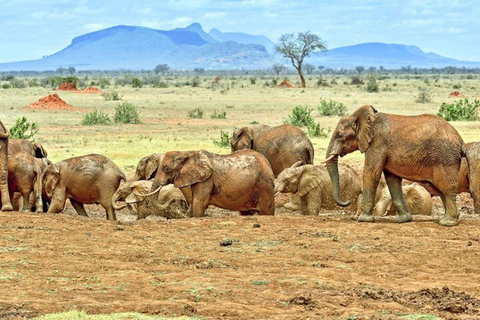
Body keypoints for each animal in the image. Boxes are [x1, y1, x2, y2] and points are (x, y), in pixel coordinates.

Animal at [142, 150, 274, 218]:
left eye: (166, 169)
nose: (175, 200)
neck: (186, 153)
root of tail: (267, 161)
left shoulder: (206, 180)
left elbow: (198, 203)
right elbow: (194, 202)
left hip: (264, 183)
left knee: (267, 210)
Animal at [324, 104, 466, 225]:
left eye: (339, 135)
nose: (347, 201)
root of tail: (461, 141)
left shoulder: (377, 143)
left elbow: (371, 173)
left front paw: (363, 220)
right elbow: (392, 179)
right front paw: (403, 220)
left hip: (445, 158)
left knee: (446, 188)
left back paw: (447, 223)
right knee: (440, 190)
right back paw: (444, 220)